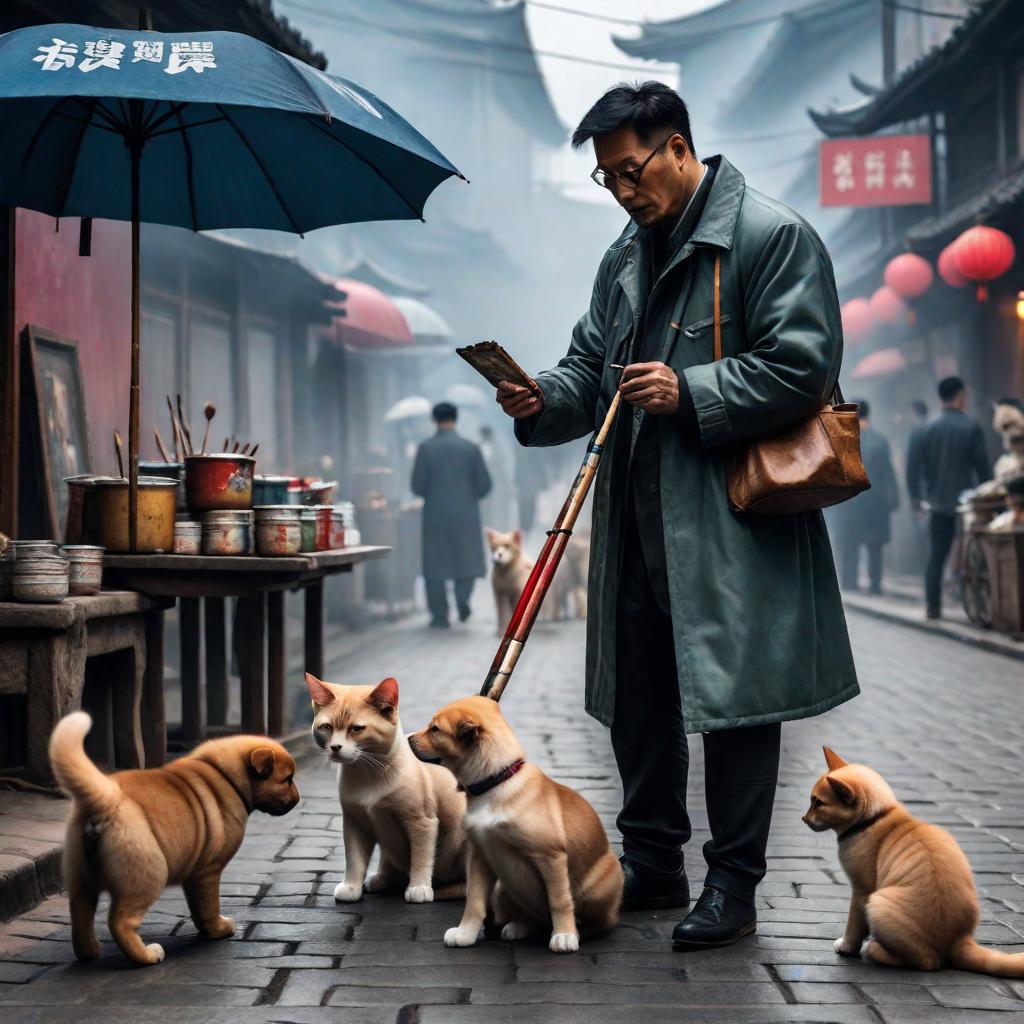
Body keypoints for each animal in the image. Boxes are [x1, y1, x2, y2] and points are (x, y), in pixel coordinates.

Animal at [49, 712, 299, 966]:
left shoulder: (196, 872)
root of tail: (107, 799)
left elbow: (197, 906)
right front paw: (218, 929)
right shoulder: (209, 869)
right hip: (147, 872)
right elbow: (210, 905)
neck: (224, 774)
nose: (298, 799)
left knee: (80, 913)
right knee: (120, 922)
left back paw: (89, 951)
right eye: (287, 780)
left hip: (79, 873)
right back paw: (148, 955)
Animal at [303, 671, 464, 905]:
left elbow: (421, 857)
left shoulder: (422, 821)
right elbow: (354, 859)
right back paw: (382, 878)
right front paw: (351, 886)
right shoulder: (354, 822)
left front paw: (419, 887)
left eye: (356, 728)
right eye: (326, 727)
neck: (368, 774)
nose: (335, 747)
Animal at [409, 696, 622, 950]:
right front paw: (465, 933)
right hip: (502, 889)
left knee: (604, 921)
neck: (497, 782)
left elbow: (560, 900)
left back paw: (580, 931)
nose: (407, 738)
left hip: (597, 888)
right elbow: (474, 901)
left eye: (435, 729)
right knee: (537, 919)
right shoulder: (479, 856)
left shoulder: (551, 856)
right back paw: (519, 927)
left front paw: (565, 935)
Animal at [802, 745, 1024, 974]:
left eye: (818, 803)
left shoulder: (861, 890)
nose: (804, 819)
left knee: (927, 962)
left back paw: (874, 950)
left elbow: (854, 924)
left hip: (877, 902)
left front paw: (847, 947)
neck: (876, 816)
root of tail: (959, 940)